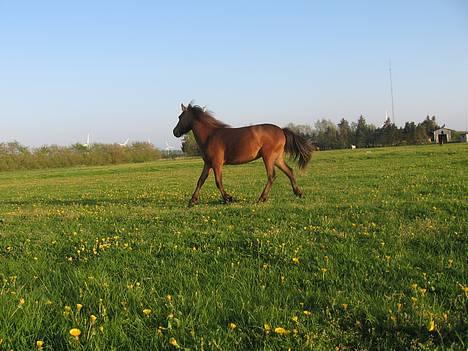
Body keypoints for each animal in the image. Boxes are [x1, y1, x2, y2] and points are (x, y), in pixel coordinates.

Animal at [173, 103, 314, 206]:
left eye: (180, 117)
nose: (175, 132)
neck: (210, 136)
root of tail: (282, 130)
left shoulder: (217, 163)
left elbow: (218, 181)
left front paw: (228, 199)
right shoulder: (208, 163)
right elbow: (200, 180)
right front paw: (192, 201)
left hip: (268, 157)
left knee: (271, 176)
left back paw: (261, 198)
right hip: (277, 159)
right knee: (289, 171)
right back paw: (299, 193)